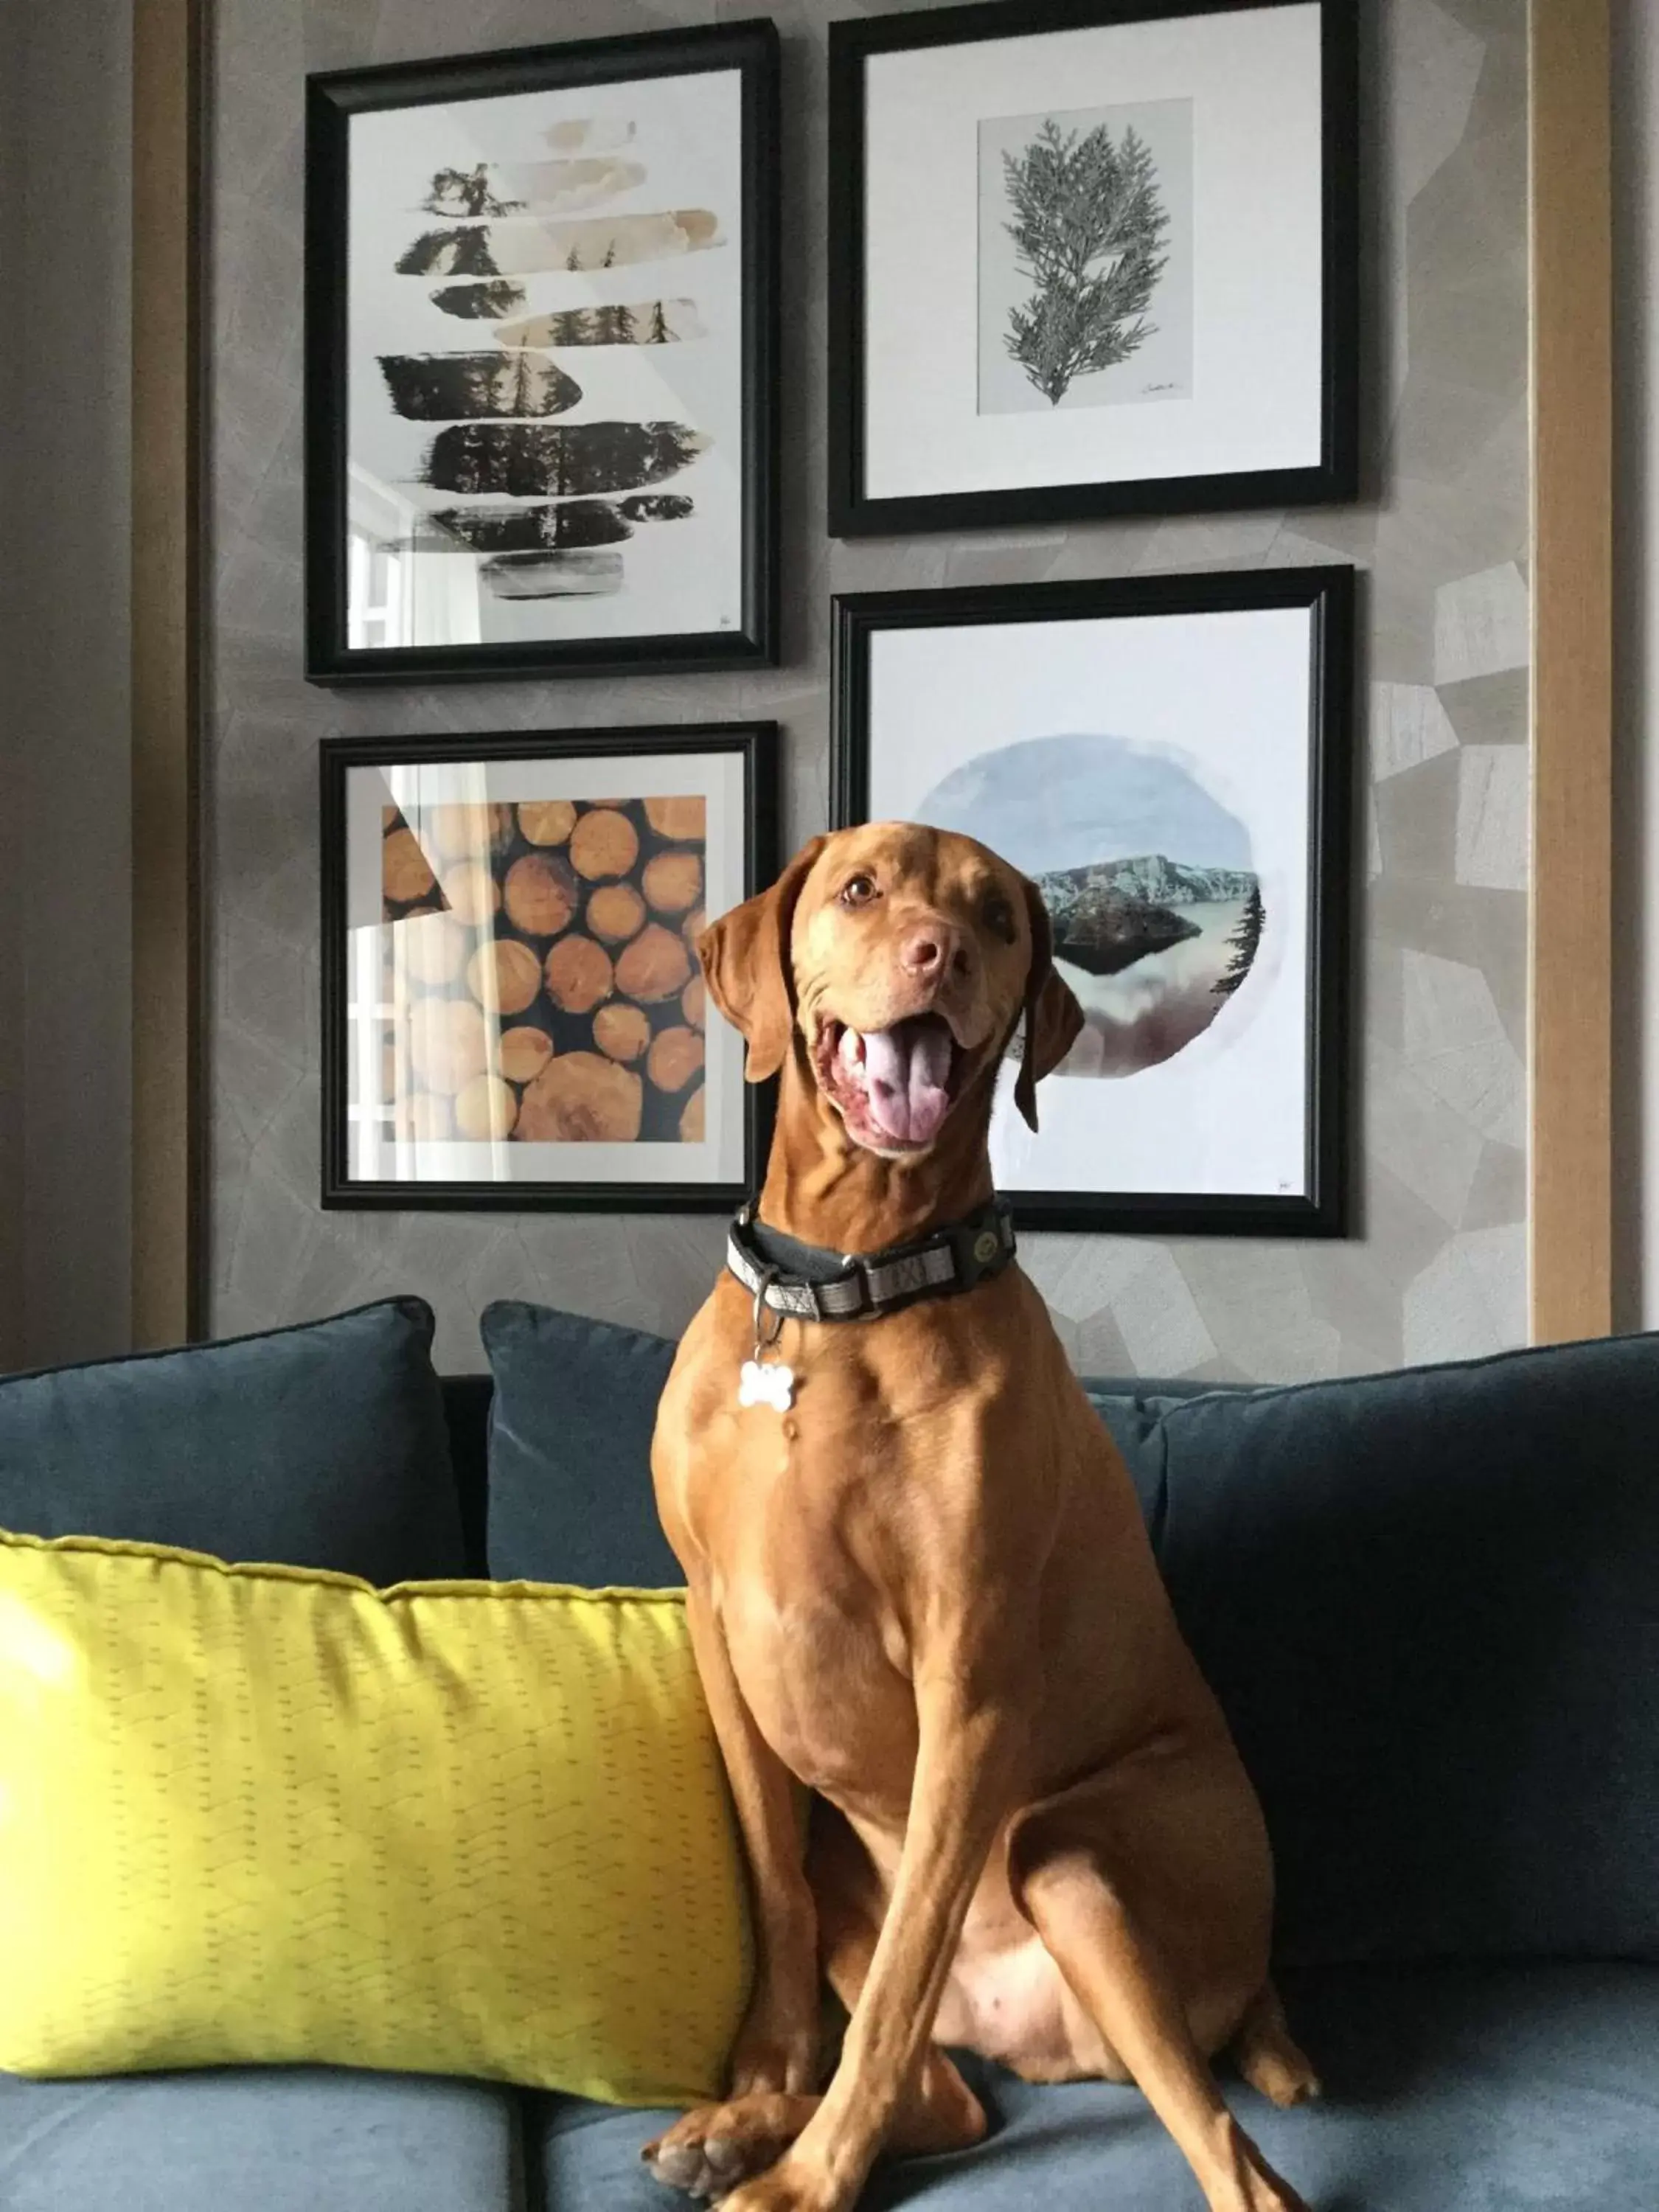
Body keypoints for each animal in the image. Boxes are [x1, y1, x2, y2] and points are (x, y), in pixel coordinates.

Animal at [641, 827, 1318, 2212]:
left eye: (999, 917)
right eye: (859, 888)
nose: (940, 955)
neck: (840, 1290)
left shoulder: (968, 1675)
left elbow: (901, 1978)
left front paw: (812, 2182)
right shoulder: (719, 1636)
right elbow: (773, 1883)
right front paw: (764, 2073)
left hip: (1077, 1863)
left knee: (1231, 2162)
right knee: (949, 2095)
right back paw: (745, 2127)